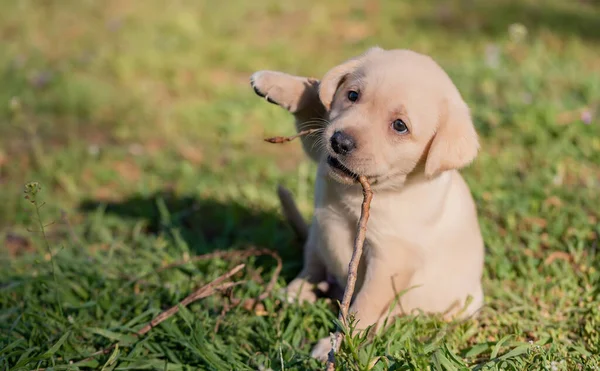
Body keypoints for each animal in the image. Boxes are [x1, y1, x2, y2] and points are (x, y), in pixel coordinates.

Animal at [251, 47, 486, 364]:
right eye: (352, 95)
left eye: (400, 126)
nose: (340, 141)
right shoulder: (319, 149)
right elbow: (312, 98)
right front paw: (272, 81)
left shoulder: (390, 260)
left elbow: (362, 306)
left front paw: (335, 344)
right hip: (317, 235)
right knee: (313, 264)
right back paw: (298, 290)